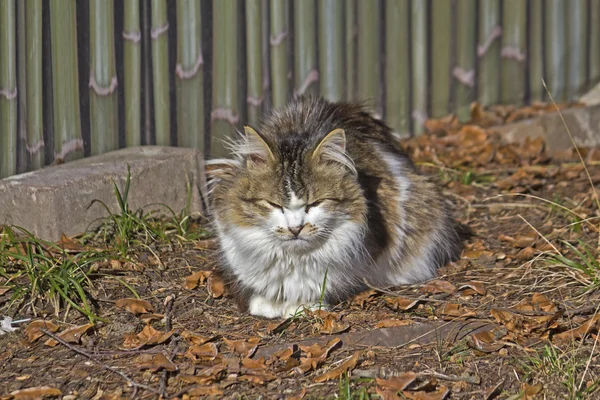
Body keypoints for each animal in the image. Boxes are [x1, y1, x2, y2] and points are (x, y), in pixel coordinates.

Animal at [206, 96, 468, 318]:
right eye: (274, 204)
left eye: (314, 204)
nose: (295, 229)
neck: (294, 259)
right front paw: (268, 303)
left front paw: (302, 306)